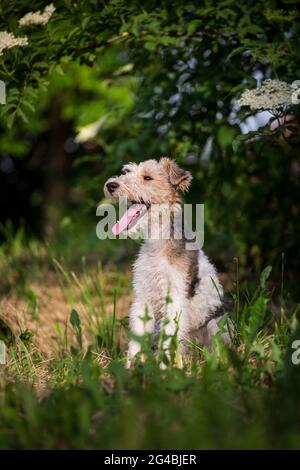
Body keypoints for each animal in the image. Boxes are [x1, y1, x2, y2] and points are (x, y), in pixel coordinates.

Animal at [104, 158, 231, 368]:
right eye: (127, 171)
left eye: (147, 177)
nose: (111, 185)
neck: (158, 244)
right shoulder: (143, 297)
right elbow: (136, 341)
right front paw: (130, 368)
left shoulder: (175, 299)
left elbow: (169, 338)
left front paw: (163, 370)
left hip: (217, 325)